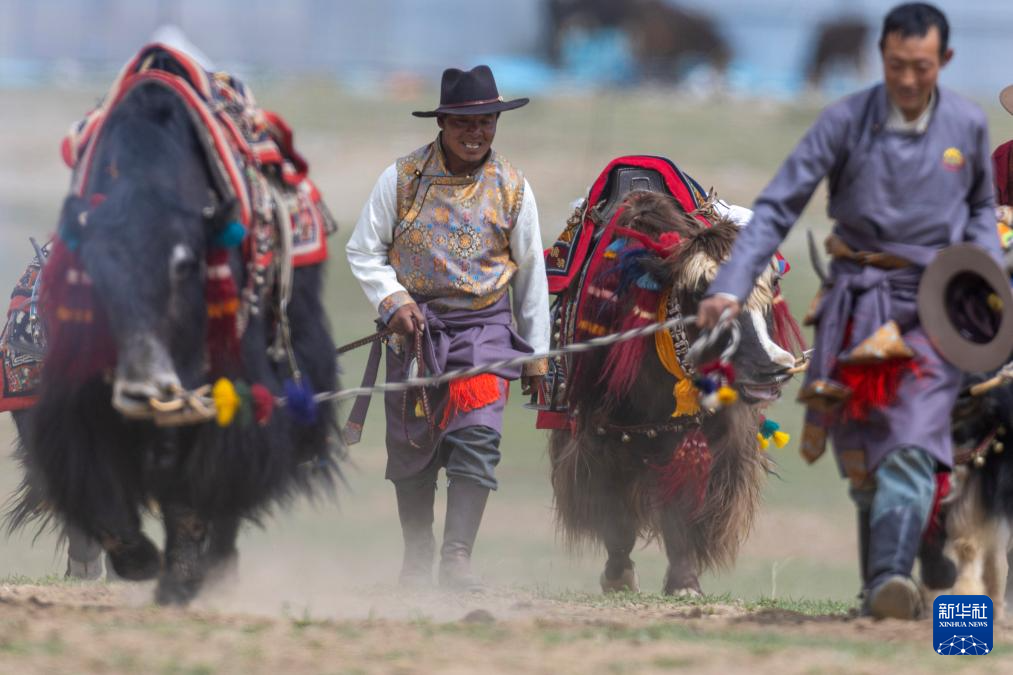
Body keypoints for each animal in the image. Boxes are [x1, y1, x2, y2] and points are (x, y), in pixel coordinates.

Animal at [6, 61, 339, 605]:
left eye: (188, 268)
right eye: (93, 278)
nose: (146, 383)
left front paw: (182, 575)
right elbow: (93, 482)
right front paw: (132, 561)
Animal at [548, 190, 797, 595]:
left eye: (772, 284)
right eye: (699, 292)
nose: (771, 368)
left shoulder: (707, 440)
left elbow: (681, 511)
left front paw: (684, 583)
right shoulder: (600, 439)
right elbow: (617, 518)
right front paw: (619, 577)